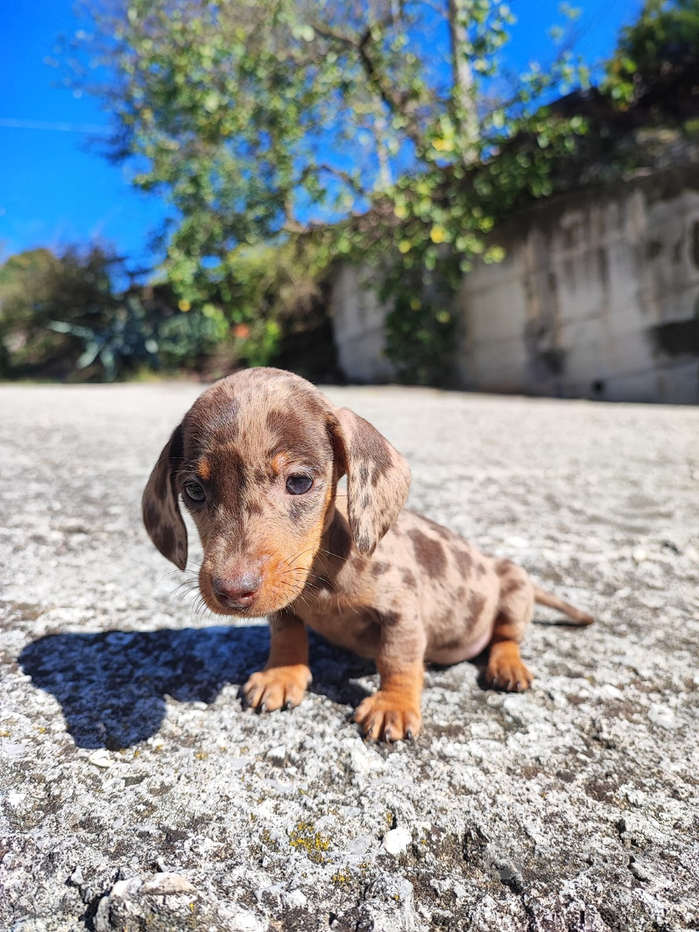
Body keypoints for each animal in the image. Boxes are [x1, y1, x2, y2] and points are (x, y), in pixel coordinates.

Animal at [145, 368, 592, 740]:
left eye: (299, 482)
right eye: (194, 490)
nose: (233, 592)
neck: (322, 575)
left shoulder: (402, 612)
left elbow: (398, 660)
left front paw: (393, 705)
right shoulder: (286, 603)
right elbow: (286, 634)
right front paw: (281, 675)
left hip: (513, 584)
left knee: (506, 635)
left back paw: (508, 665)